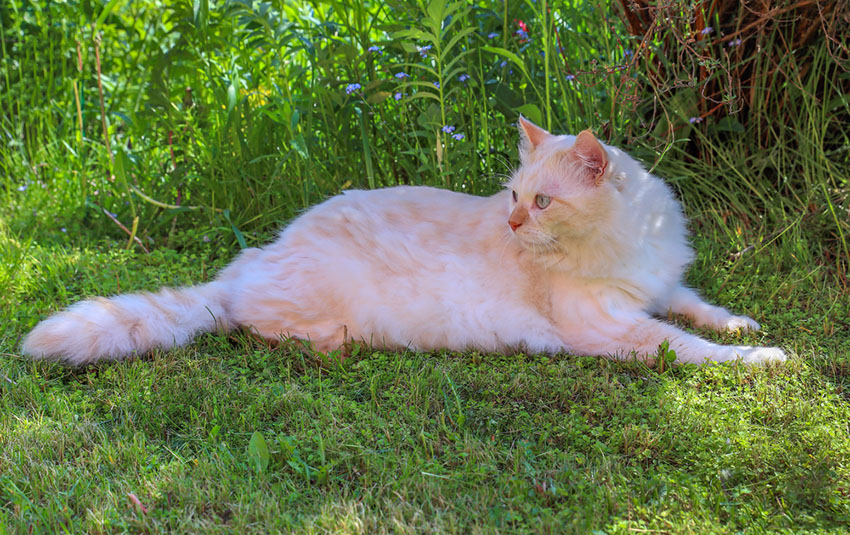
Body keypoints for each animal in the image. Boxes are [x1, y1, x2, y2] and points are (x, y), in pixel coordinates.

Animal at [21, 118, 788, 366]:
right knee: (258, 327)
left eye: (541, 202)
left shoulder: (663, 283)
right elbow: (690, 346)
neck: (625, 240)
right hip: (316, 312)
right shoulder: (612, 326)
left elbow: (700, 309)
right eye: (515, 198)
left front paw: (746, 324)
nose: (512, 225)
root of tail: (255, 260)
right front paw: (762, 357)